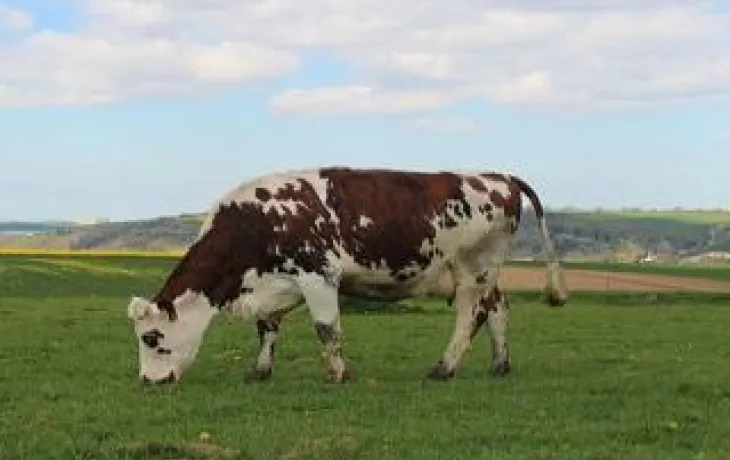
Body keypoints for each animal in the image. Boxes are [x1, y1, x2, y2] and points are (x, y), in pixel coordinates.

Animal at [127, 167, 567, 385]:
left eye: (151, 338)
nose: (148, 380)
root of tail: (497, 176)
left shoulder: (318, 275)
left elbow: (327, 329)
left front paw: (338, 373)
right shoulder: (274, 285)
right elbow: (267, 328)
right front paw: (260, 371)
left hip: (473, 268)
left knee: (470, 316)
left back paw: (444, 368)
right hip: (486, 272)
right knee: (498, 309)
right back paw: (499, 365)